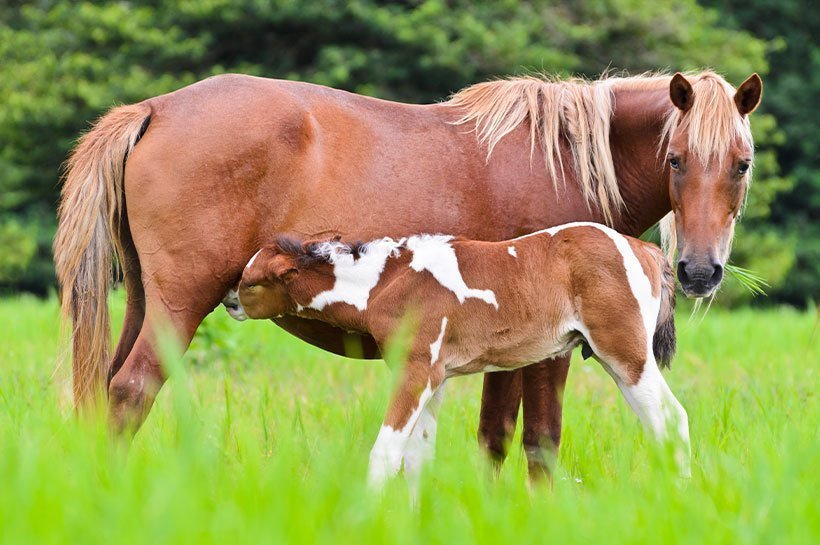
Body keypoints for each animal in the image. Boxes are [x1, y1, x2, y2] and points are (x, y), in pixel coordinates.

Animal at [223, 222, 684, 484]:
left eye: (251, 282)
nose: (229, 301)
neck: (386, 282)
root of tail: (644, 249)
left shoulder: (416, 372)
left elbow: (385, 453)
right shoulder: (435, 376)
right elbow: (418, 457)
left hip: (626, 353)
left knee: (671, 419)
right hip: (614, 359)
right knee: (662, 422)